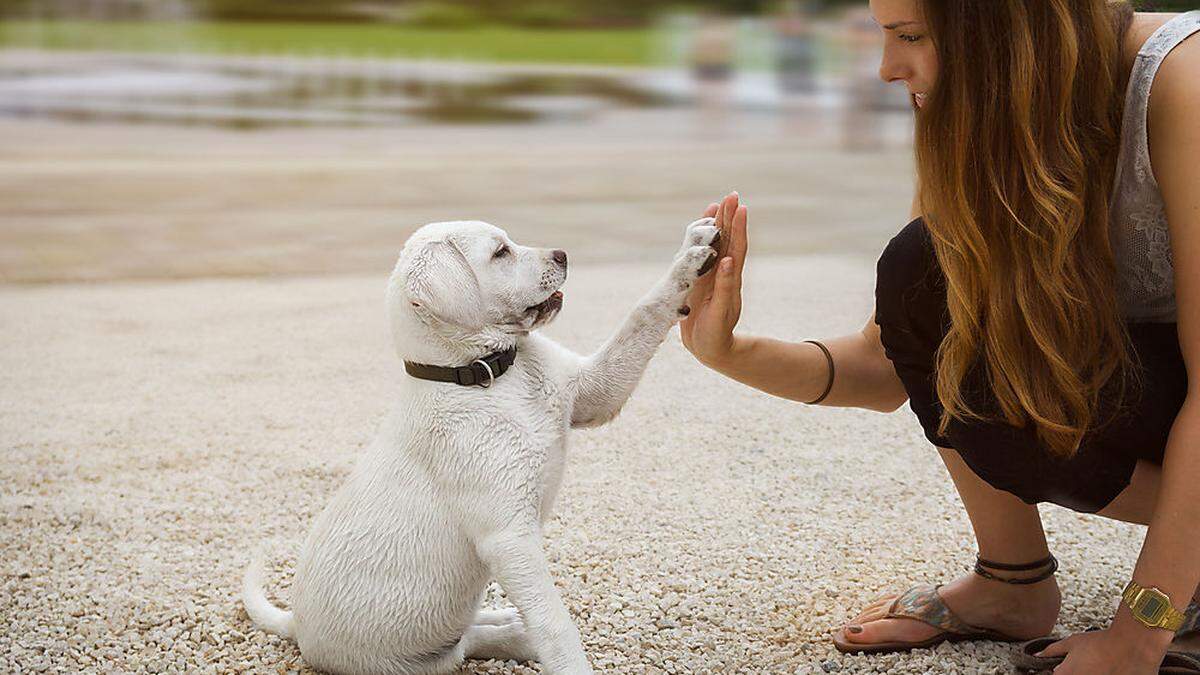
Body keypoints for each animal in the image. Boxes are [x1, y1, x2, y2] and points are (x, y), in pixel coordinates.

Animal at [240, 218, 715, 667]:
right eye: (501, 252)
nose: (562, 254)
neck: (489, 374)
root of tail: (296, 625)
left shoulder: (595, 392)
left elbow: (643, 314)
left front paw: (689, 256)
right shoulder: (509, 537)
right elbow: (554, 622)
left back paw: (506, 620)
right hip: (414, 659)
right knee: (467, 644)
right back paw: (515, 634)